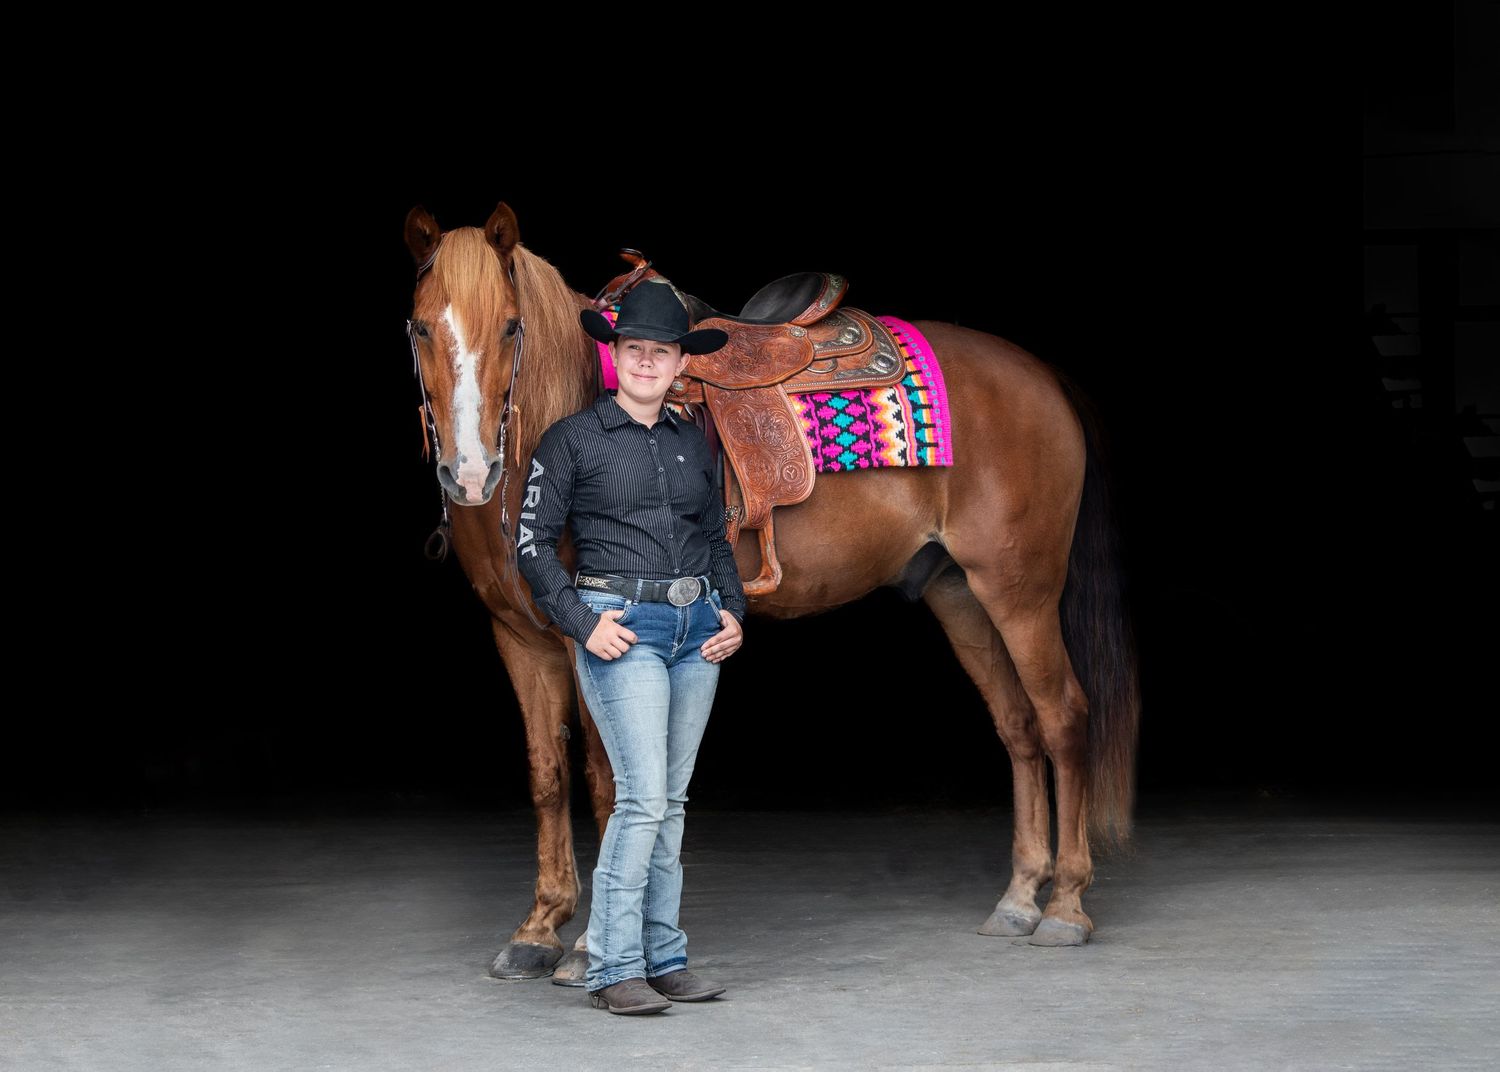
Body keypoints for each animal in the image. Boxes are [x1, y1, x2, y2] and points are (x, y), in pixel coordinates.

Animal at [402, 201, 1139, 981]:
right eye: (420, 327)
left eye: (512, 327)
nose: (469, 472)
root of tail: (1042, 376)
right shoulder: (520, 636)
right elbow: (547, 775)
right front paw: (539, 927)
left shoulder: (593, 640)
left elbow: (609, 779)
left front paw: (585, 948)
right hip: (960, 594)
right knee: (1019, 727)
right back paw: (1021, 897)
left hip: (1020, 591)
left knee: (1063, 719)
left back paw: (1065, 907)